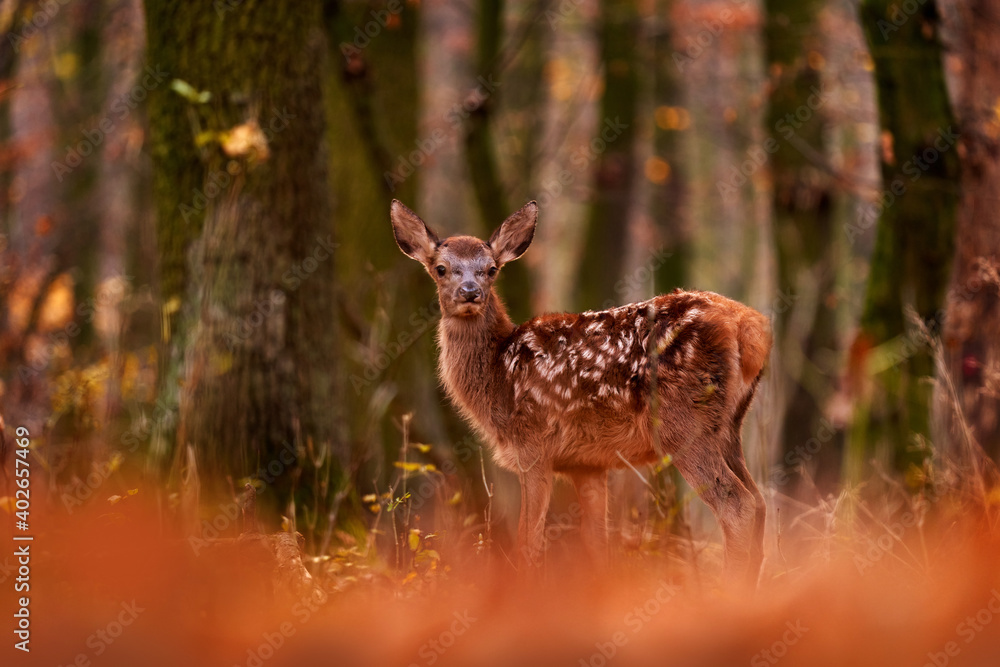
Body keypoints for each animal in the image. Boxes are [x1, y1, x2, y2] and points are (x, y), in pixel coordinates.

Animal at [390, 199, 771, 585]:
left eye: (491, 269)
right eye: (441, 268)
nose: (470, 292)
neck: (499, 374)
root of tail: (748, 325)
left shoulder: (533, 447)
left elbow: (529, 541)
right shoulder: (587, 464)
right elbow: (597, 545)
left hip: (682, 423)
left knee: (738, 505)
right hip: (728, 426)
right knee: (759, 502)